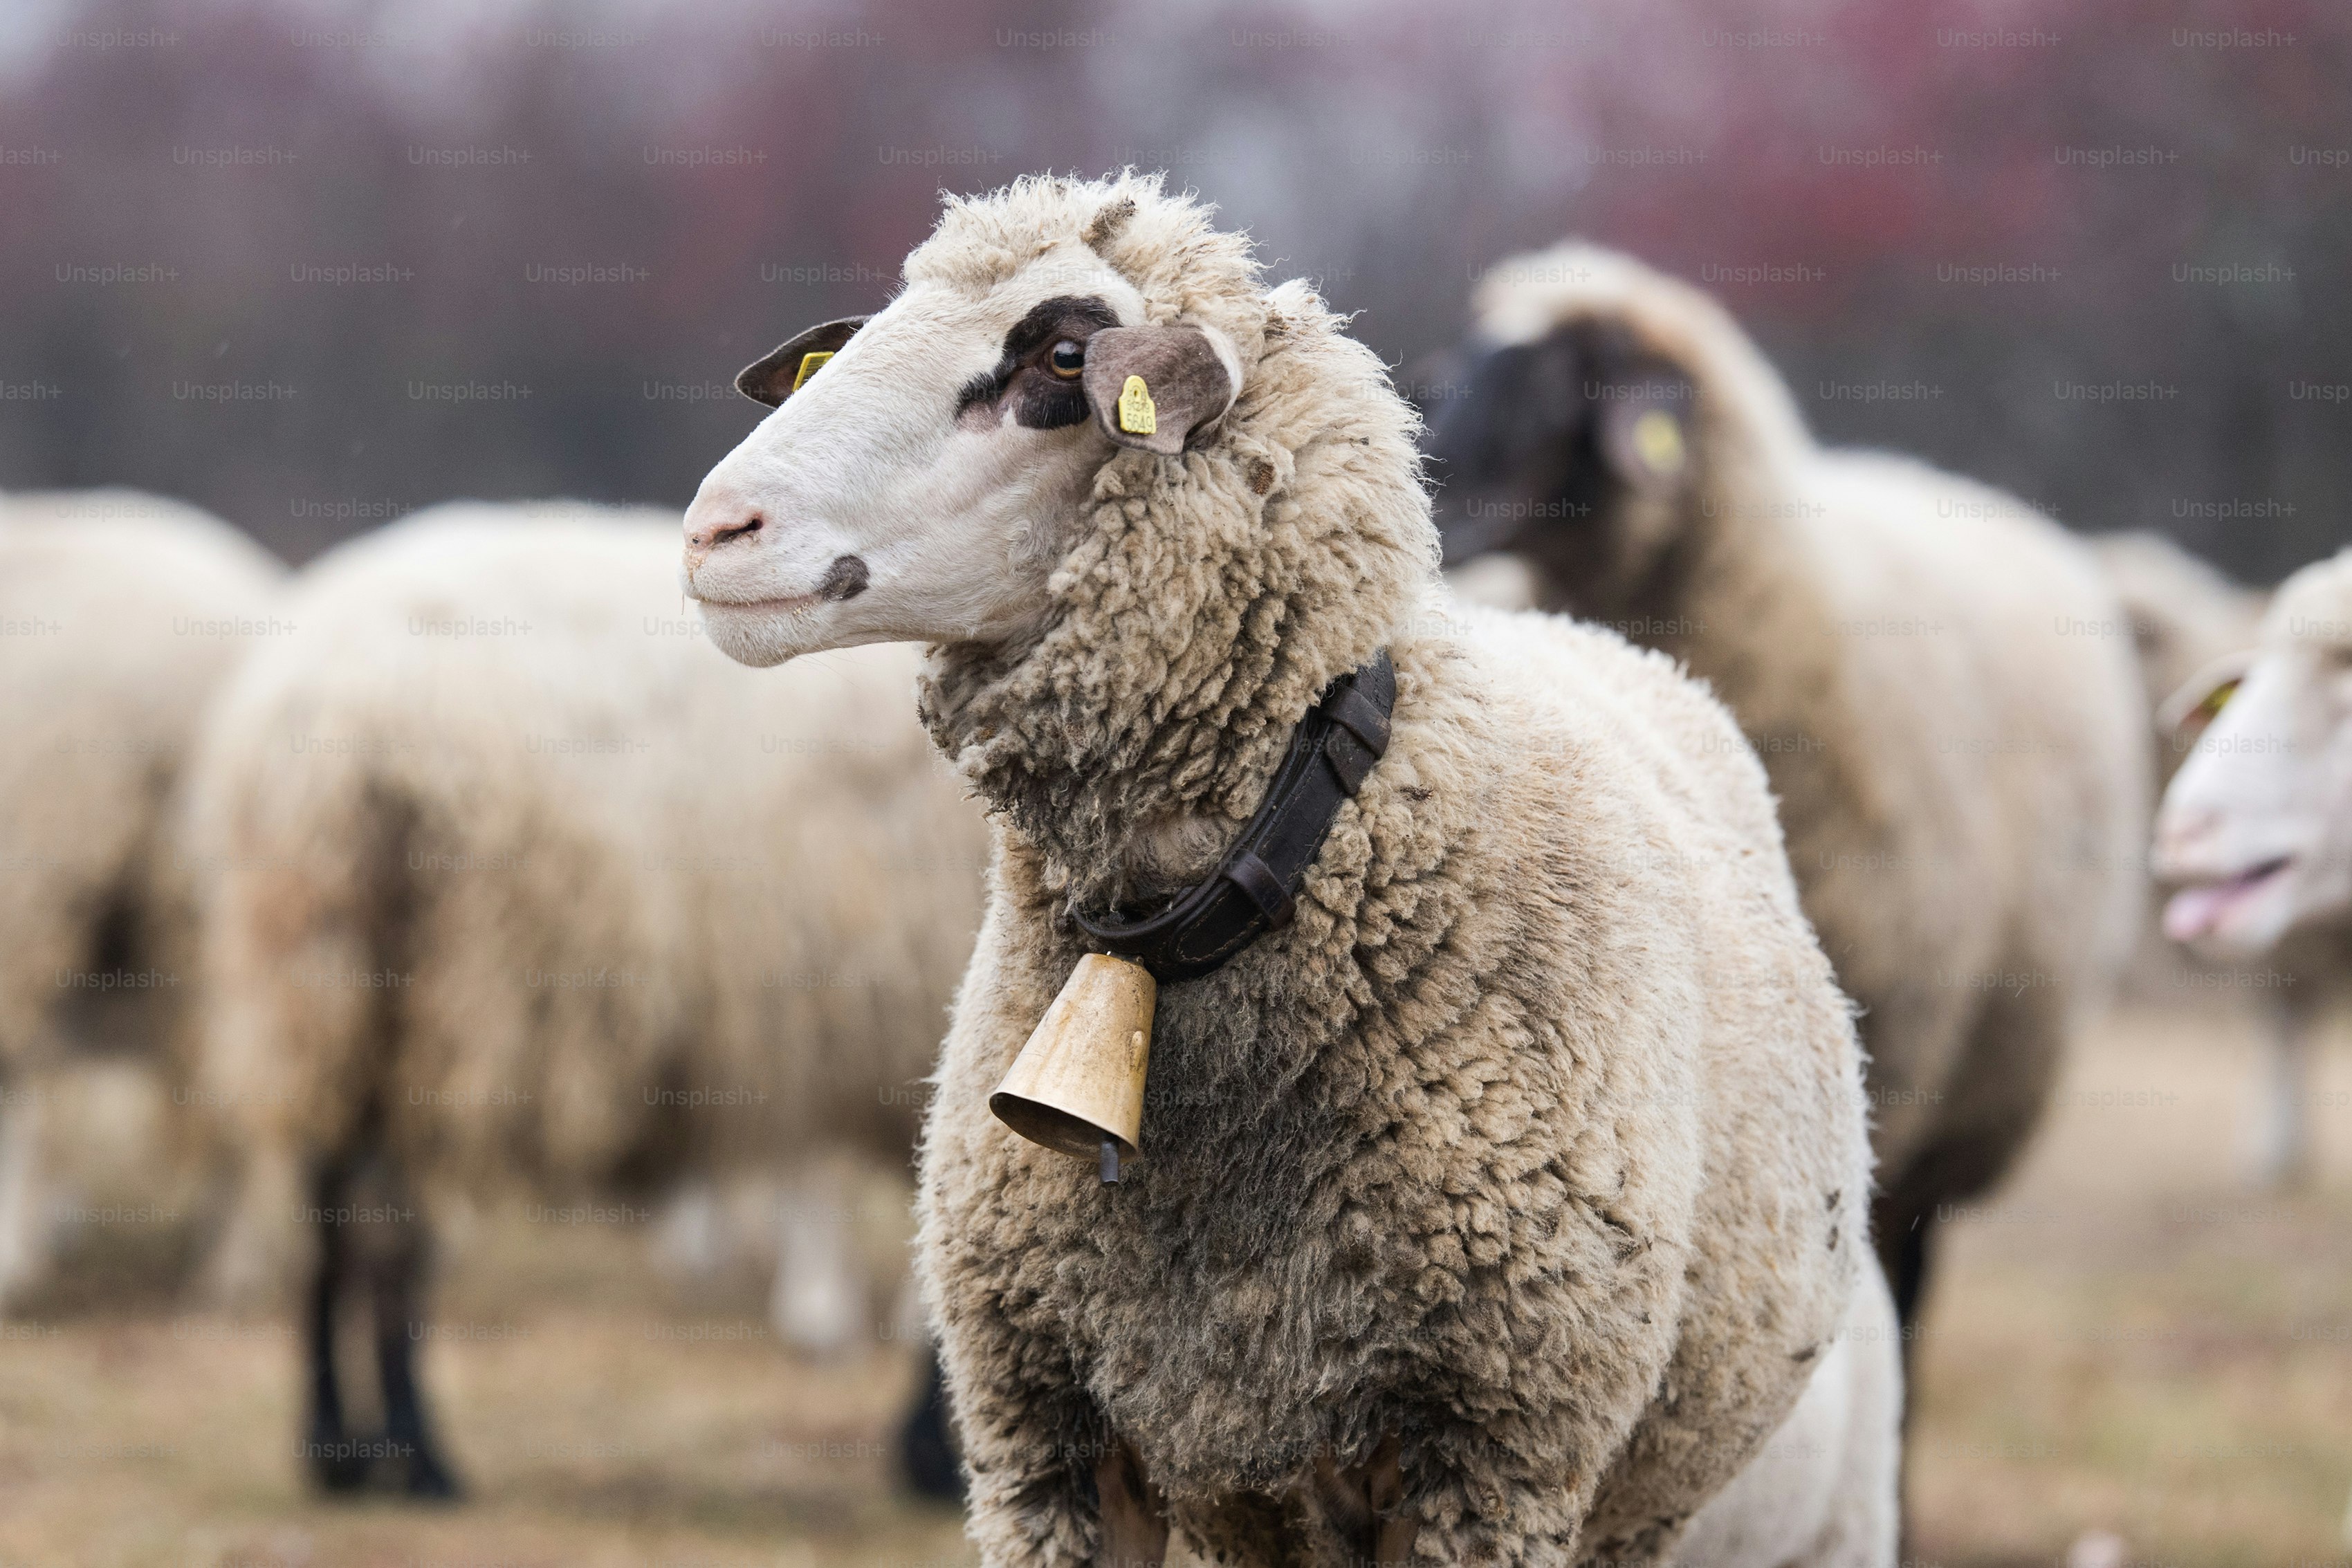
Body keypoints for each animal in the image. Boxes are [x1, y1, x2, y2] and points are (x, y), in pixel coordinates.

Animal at [181, 501, 987, 1497]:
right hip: (442, 987)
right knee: (391, 1230)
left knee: (337, 1212)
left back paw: (338, 1447)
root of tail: (316, 708)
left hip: (332, 984)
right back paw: (417, 1449)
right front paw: (934, 1449)